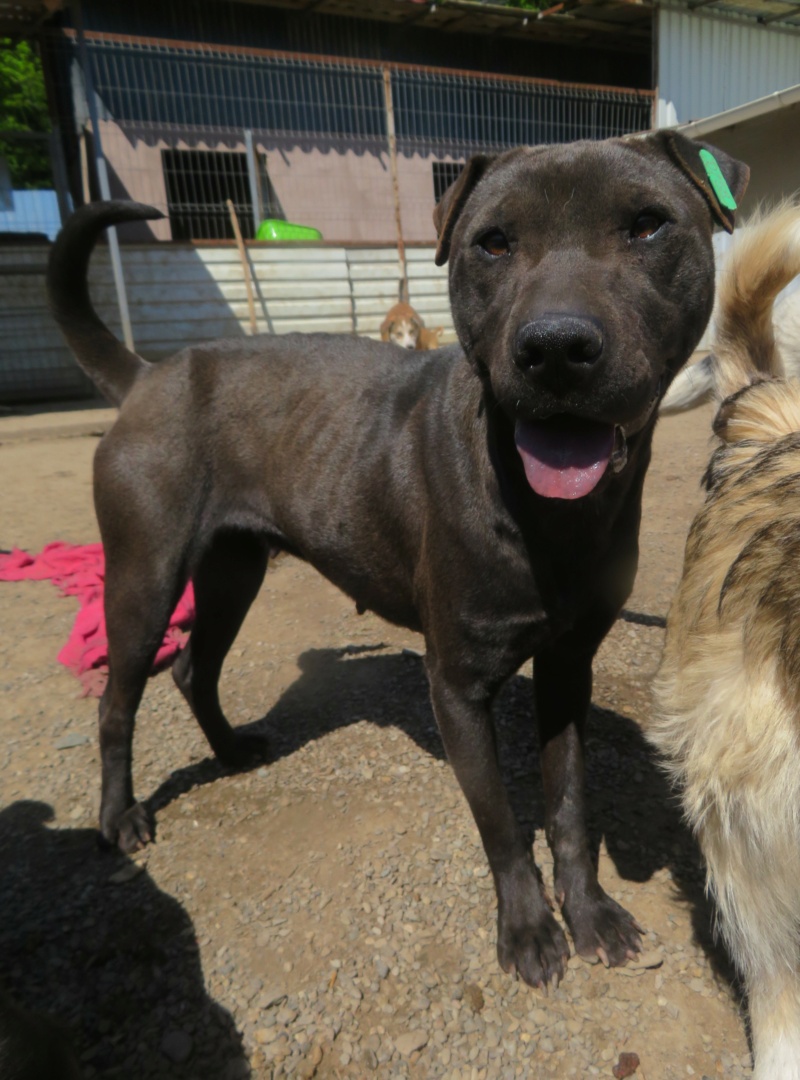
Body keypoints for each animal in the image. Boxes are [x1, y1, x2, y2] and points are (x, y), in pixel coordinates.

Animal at [48, 130, 747, 989]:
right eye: (493, 242)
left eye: (648, 226)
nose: (555, 347)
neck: (550, 513)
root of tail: (150, 374)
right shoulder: (456, 688)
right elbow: (503, 826)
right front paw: (527, 929)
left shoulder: (567, 669)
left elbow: (569, 808)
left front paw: (588, 913)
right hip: (144, 577)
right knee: (120, 700)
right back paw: (119, 815)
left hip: (234, 570)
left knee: (193, 667)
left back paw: (231, 749)